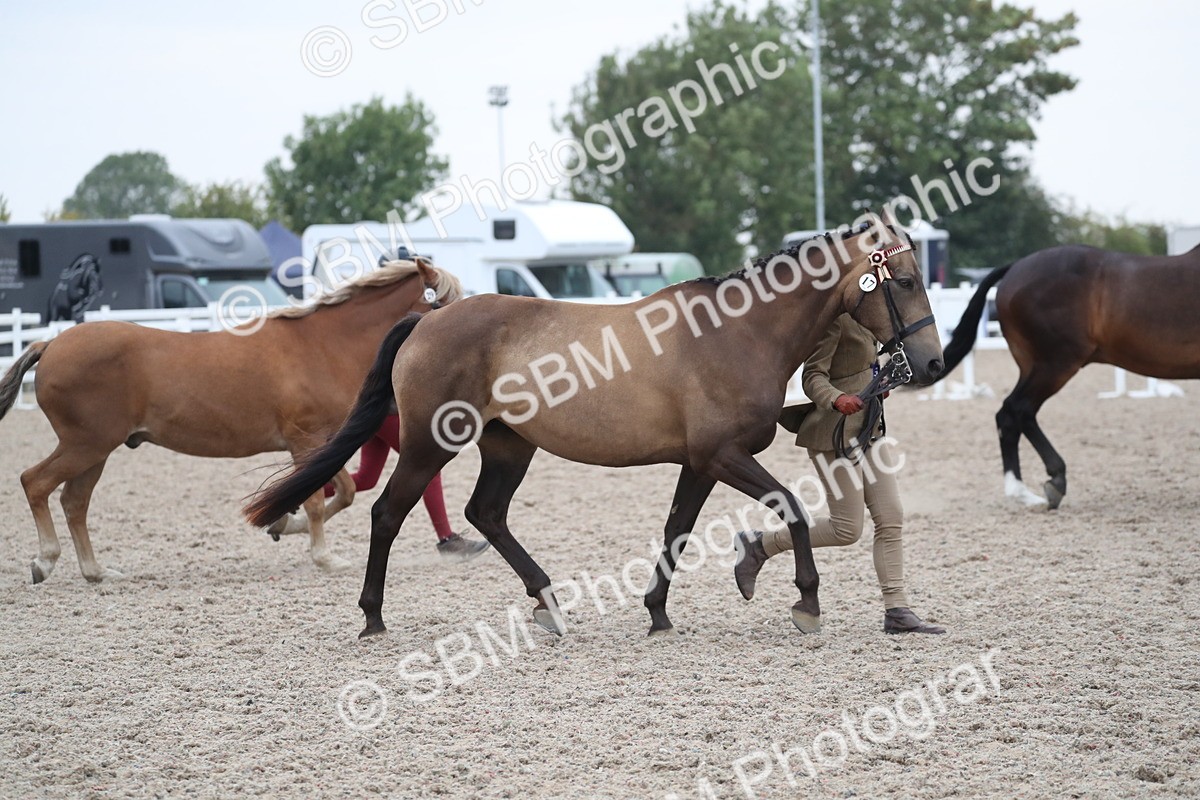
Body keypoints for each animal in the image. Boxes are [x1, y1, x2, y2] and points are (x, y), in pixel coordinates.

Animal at [0, 259, 462, 583]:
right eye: (443, 301)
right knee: (35, 483)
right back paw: (44, 562)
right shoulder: (305, 440)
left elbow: (343, 491)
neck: (323, 344)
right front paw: (324, 557)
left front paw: (283, 522)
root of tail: (50, 344)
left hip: (95, 451)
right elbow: (317, 498)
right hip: (85, 445)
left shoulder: (323, 443)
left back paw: (96, 572)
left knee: (74, 502)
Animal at [244, 218, 945, 640]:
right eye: (907, 280)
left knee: (485, 513)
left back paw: (547, 604)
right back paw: (373, 617)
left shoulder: (699, 462)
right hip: (429, 443)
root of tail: (428, 317)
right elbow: (792, 507)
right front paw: (806, 603)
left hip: (508, 445)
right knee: (389, 513)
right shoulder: (723, 455)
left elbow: (677, 529)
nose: (933, 362)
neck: (736, 332)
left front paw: (657, 613)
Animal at [935, 243, 1200, 509]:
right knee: (1018, 409)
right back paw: (1050, 482)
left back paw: (1024, 492)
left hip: (1034, 366)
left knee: (1012, 415)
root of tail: (1016, 267)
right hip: (1057, 364)